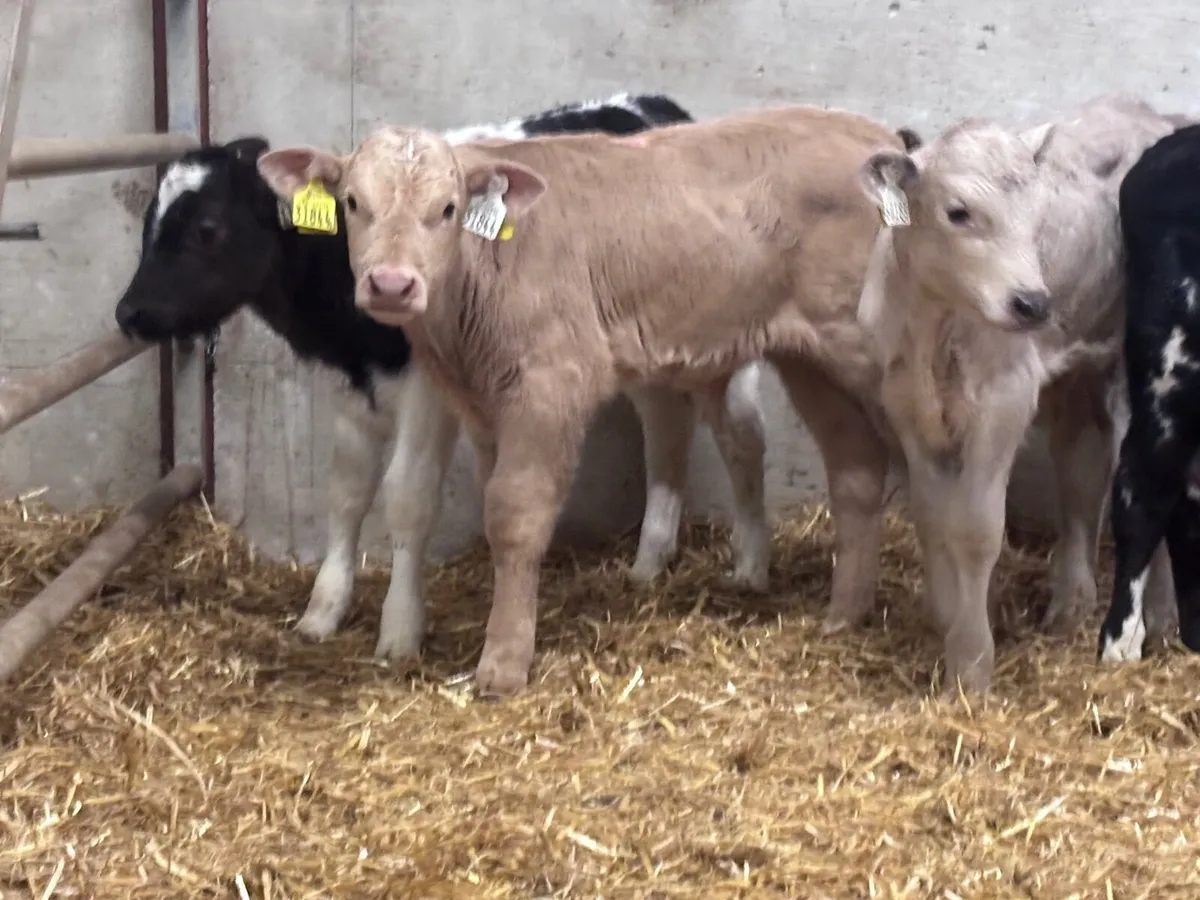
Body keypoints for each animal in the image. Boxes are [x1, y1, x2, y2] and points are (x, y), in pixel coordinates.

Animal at [113, 92, 773, 662]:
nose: (130, 313)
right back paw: (649, 560)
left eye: (206, 228)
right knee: (664, 424)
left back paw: (746, 563)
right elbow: (346, 492)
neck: (347, 322)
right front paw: (322, 611)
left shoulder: (427, 393)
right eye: (148, 222)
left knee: (740, 434)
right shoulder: (351, 386)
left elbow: (408, 498)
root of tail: (655, 104)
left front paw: (400, 629)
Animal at [253, 104, 922, 695]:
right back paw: (844, 615)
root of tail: (880, 141)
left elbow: (516, 513)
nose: (391, 284)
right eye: (352, 202)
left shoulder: (552, 382)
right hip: (810, 357)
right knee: (856, 467)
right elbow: (493, 504)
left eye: (447, 209)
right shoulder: (483, 406)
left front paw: (503, 664)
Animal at [855, 95, 1181, 695]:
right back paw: (1072, 605)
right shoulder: (904, 401)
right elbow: (932, 516)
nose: (1032, 303)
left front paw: (971, 662)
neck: (934, 325)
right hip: (1079, 372)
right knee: (1082, 471)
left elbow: (978, 530)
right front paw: (946, 618)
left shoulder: (1003, 398)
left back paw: (1162, 620)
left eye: (1036, 217)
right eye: (958, 212)